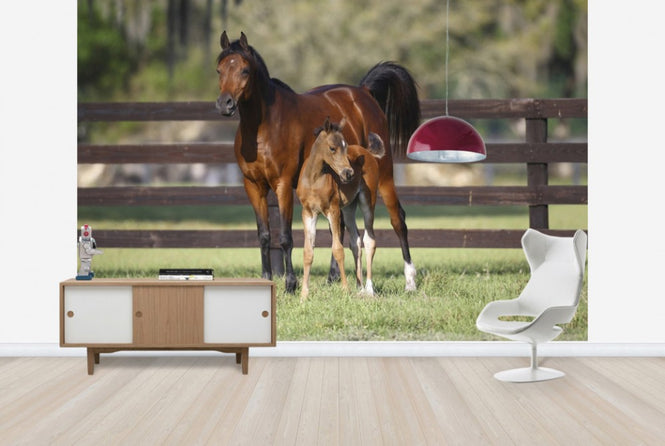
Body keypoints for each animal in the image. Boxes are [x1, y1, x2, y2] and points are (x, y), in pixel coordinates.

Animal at [297, 117, 385, 301]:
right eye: (332, 148)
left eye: (346, 147)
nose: (348, 173)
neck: (314, 179)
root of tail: (368, 153)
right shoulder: (308, 212)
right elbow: (308, 252)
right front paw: (303, 295)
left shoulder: (333, 210)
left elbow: (337, 249)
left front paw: (345, 290)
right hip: (349, 208)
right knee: (355, 241)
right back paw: (359, 288)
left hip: (367, 201)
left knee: (369, 240)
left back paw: (369, 289)